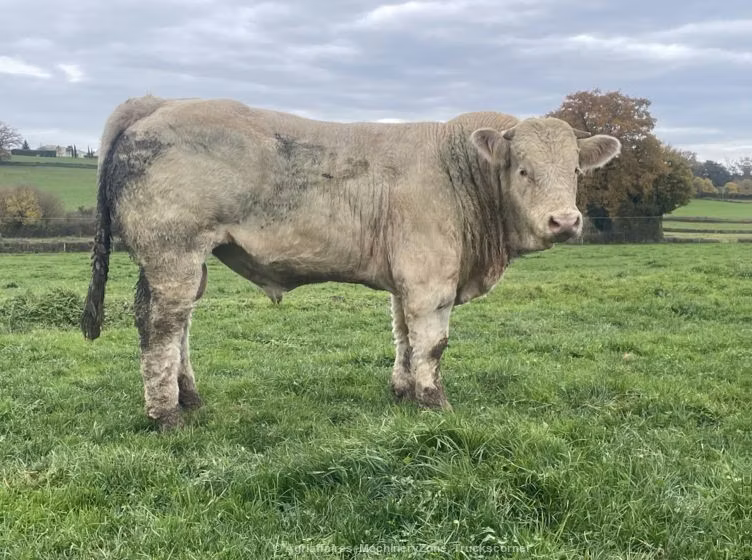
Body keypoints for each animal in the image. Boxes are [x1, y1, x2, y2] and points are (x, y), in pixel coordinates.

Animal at [81, 96, 620, 430]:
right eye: (523, 169)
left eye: (576, 170)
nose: (565, 221)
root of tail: (159, 101)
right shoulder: (430, 279)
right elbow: (432, 343)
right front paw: (434, 401)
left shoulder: (407, 280)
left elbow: (404, 335)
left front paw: (403, 390)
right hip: (173, 253)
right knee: (161, 330)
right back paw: (166, 416)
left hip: (184, 262)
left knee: (177, 327)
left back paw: (189, 398)